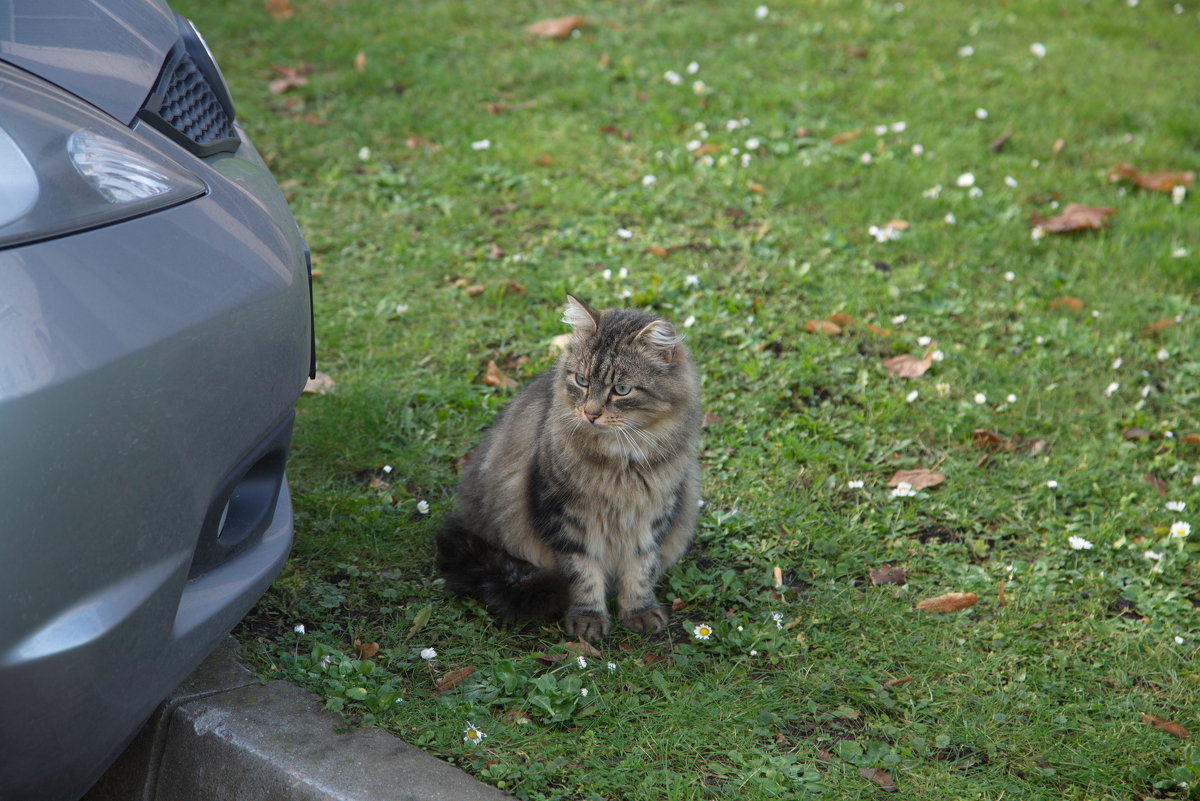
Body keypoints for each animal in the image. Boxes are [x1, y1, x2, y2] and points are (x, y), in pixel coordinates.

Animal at [434, 293, 700, 637]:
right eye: (581, 381)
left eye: (622, 390)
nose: (591, 413)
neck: (621, 462)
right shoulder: (564, 516)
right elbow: (582, 573)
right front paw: (588, 619)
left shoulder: (653, 515)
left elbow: (640, 568)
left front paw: (639, 611)